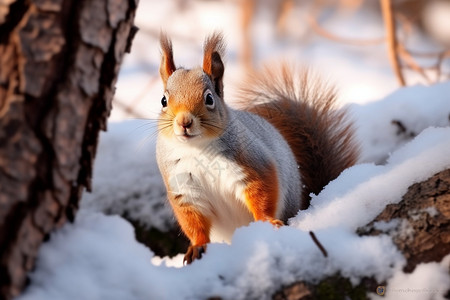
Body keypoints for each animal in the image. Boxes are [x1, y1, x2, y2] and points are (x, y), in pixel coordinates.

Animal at [155, 31, 358, 264]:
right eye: (163, 100)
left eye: (209, 98)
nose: (184, 122)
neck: (197, 149)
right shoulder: (183, 188)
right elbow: (193, 223)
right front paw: (197, 246)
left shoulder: (252, 165)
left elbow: (262, 194)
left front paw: (267, 221)